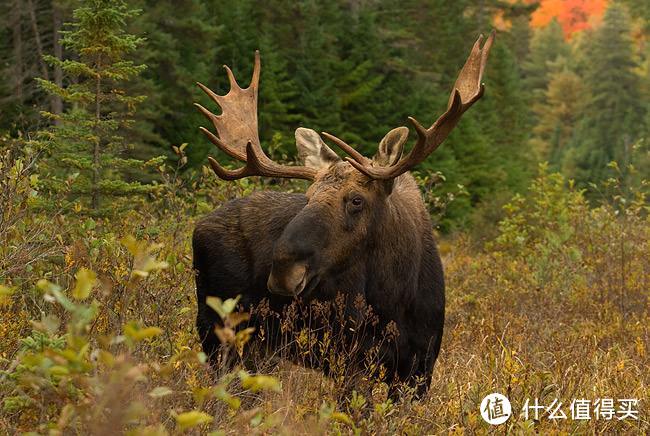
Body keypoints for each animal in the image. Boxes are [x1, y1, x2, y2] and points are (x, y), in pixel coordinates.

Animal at [191, 32, 492, 396]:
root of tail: (199, 227)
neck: (397, 298)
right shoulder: (349, 361)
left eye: (356, 200)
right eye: (307, 198)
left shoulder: (420, 371)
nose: (282, 271)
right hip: (218, 329)